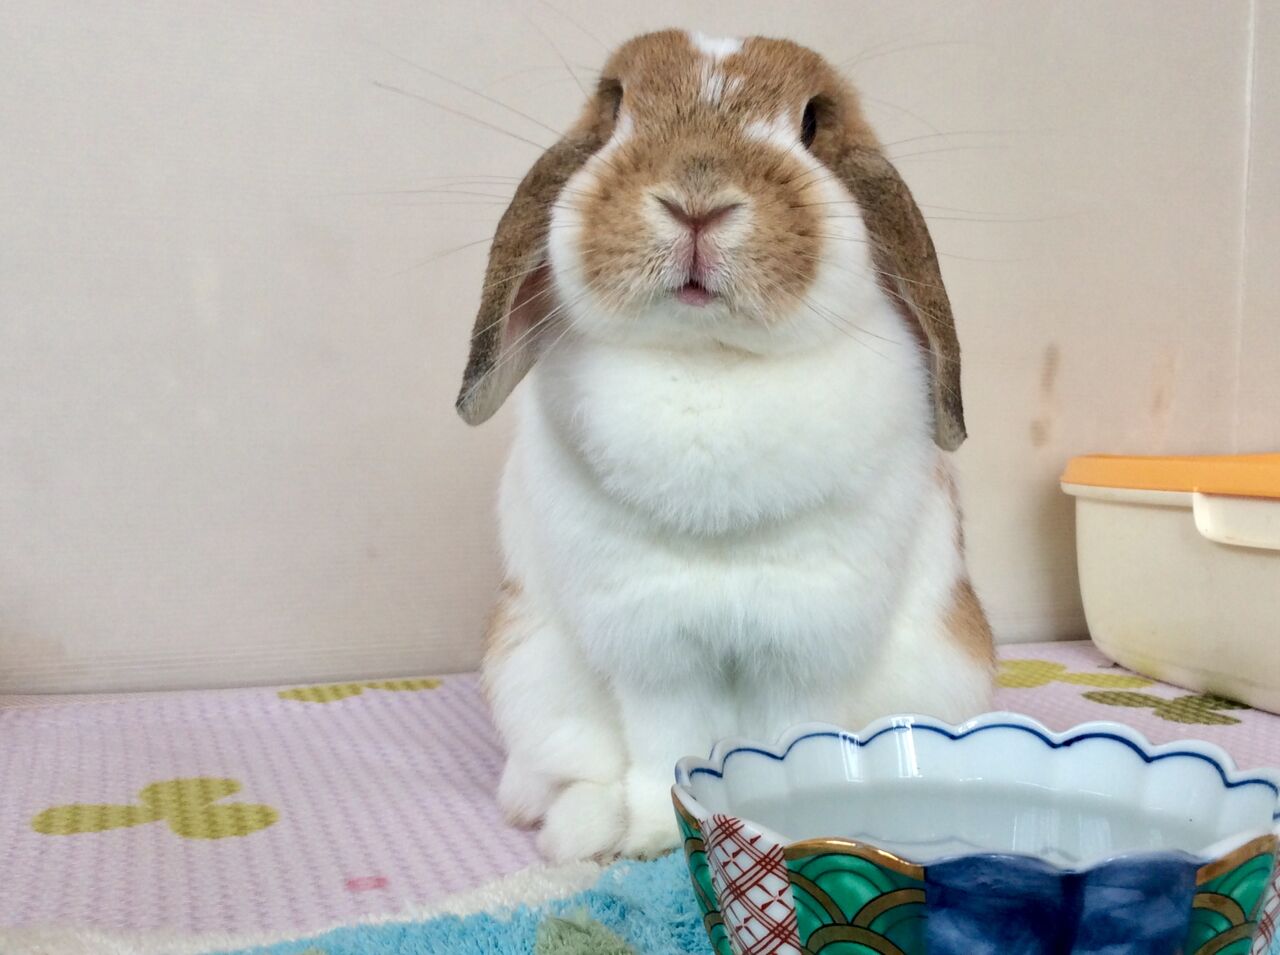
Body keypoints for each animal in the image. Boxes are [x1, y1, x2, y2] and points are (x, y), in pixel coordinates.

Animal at [455, 30, 995, 862]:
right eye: (615, 109)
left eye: (813, 122)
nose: (697, 201)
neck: (709, 357)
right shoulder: (653, 642)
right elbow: (661, 748)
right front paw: (652, 839)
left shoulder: (805, 638)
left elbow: (795, 739)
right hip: (529, 677)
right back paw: (583, 830)